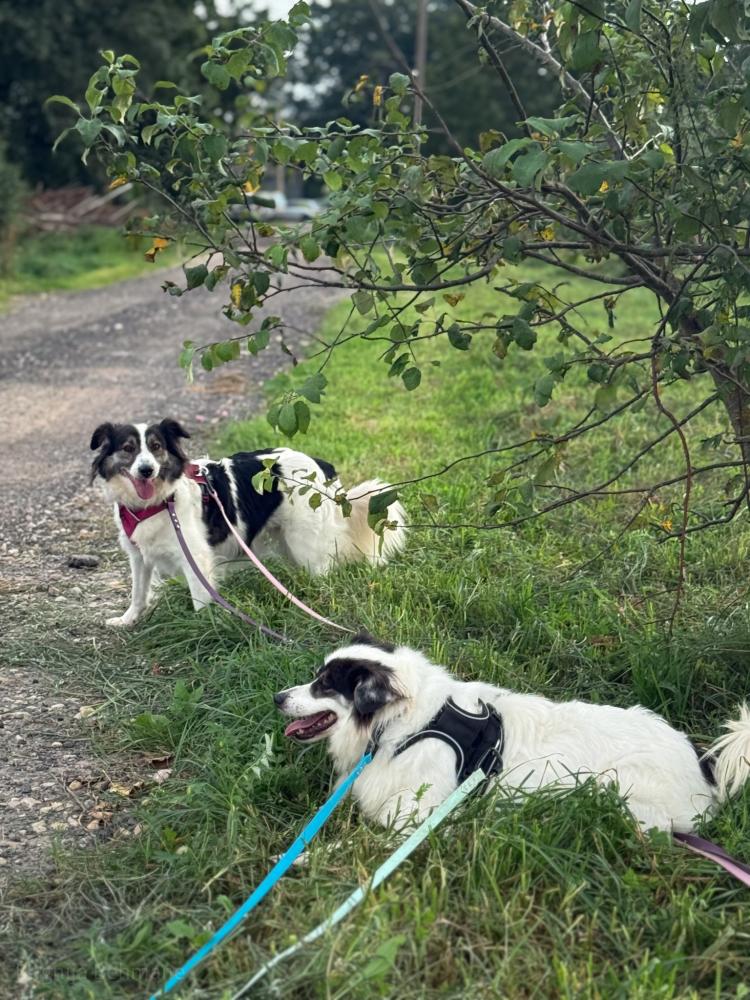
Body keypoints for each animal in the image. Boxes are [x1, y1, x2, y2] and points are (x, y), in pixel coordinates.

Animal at [90, 420, 406, 627]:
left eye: (156, 447)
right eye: (128, 448)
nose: (146, 470)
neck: (157, 502)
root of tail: (320, 465)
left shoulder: (195, 557)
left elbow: (200, 599)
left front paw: (204, 626)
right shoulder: (138, 556)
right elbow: (138, 592)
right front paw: (127, 620)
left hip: (306, 544)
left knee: (323, 573)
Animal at [275, 636, 750, 833]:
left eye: (324, 685)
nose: (278, 697)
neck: (407, 723)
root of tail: (703, 763)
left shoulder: (415, 815)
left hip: (619, 791)